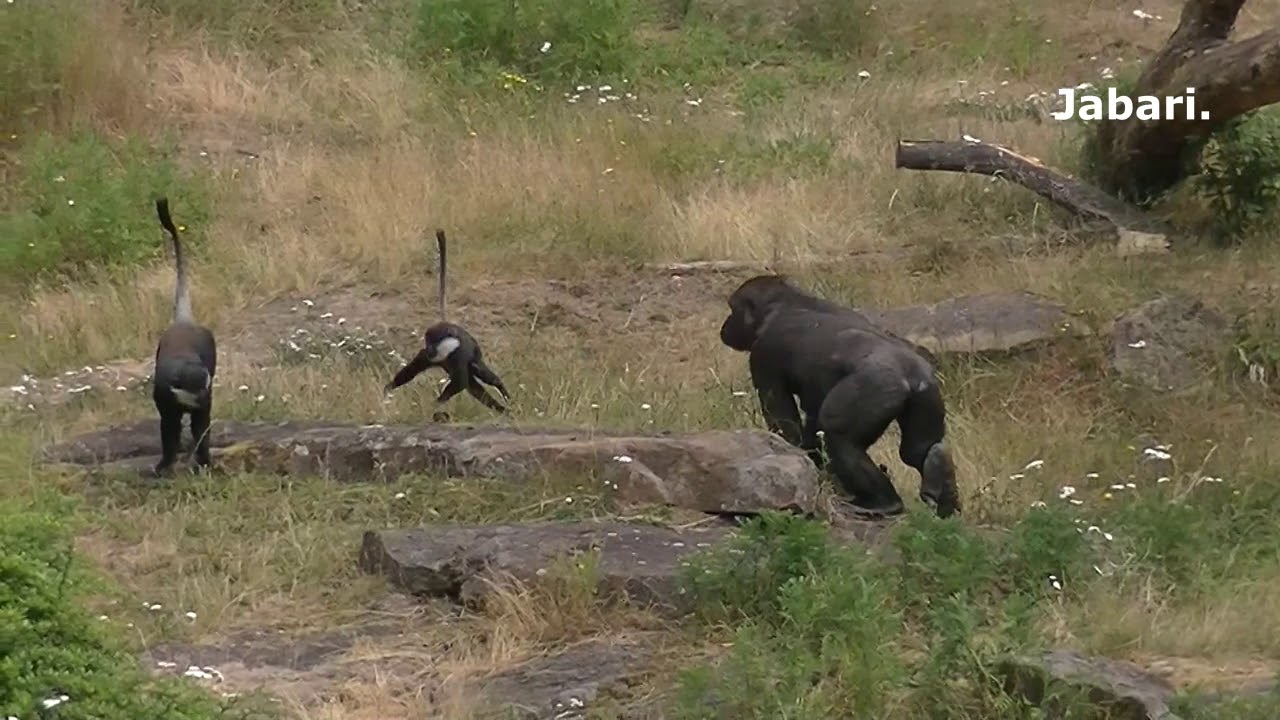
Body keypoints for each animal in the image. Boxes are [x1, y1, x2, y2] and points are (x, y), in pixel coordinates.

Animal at [383, 230, 511, 417]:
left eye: (433, 343)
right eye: (427, 342)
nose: (429, 350)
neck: (449, 348)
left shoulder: (458, 355)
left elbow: (463, 382)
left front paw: (436, 403)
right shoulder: (428, 357)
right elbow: (414, 371)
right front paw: (389, 388)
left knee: (480, 373)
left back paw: (501, 393)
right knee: (476, 384)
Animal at [719, 274, 960, 519]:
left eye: (733, 309)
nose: (726, 325)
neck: (781, 304)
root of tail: (911, 373)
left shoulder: (763, 354)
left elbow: (784, 420)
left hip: (878, 387)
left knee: (838, 436)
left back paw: (883, 503)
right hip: (927, 392)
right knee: (918, 449)